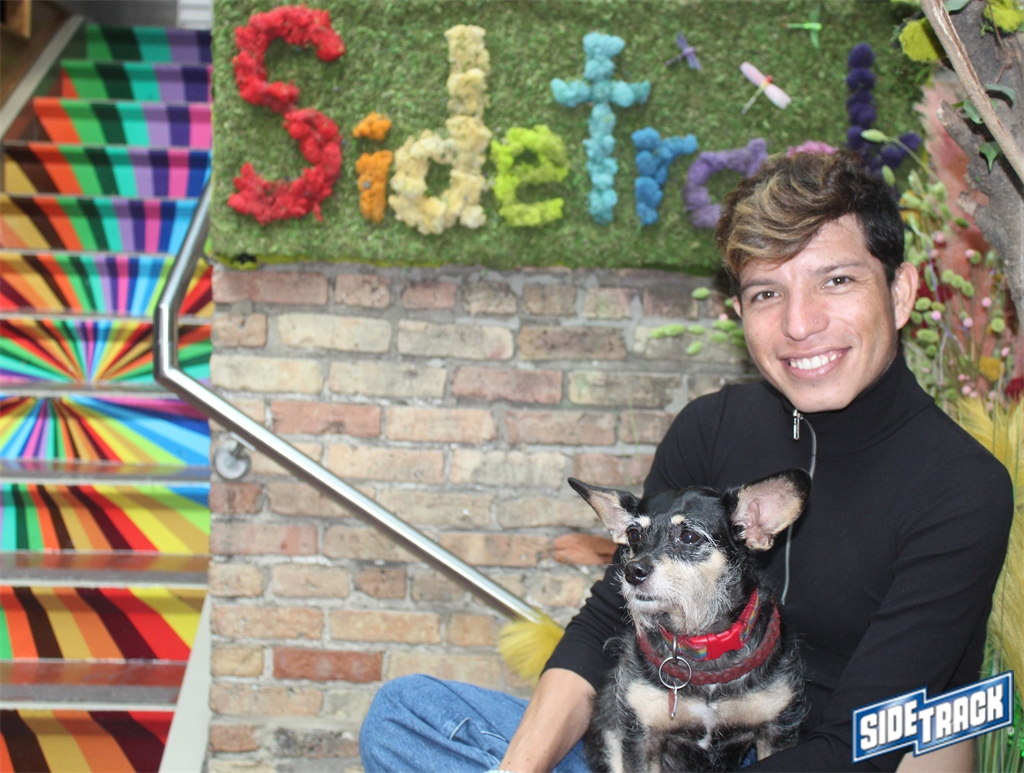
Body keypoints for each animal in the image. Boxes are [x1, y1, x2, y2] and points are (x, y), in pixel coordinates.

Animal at [568, 469, 811, 772]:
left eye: (688, 536)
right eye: (633, 534)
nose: (632, 571)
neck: (702, 643)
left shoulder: (777, 731)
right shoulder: (640, 735)